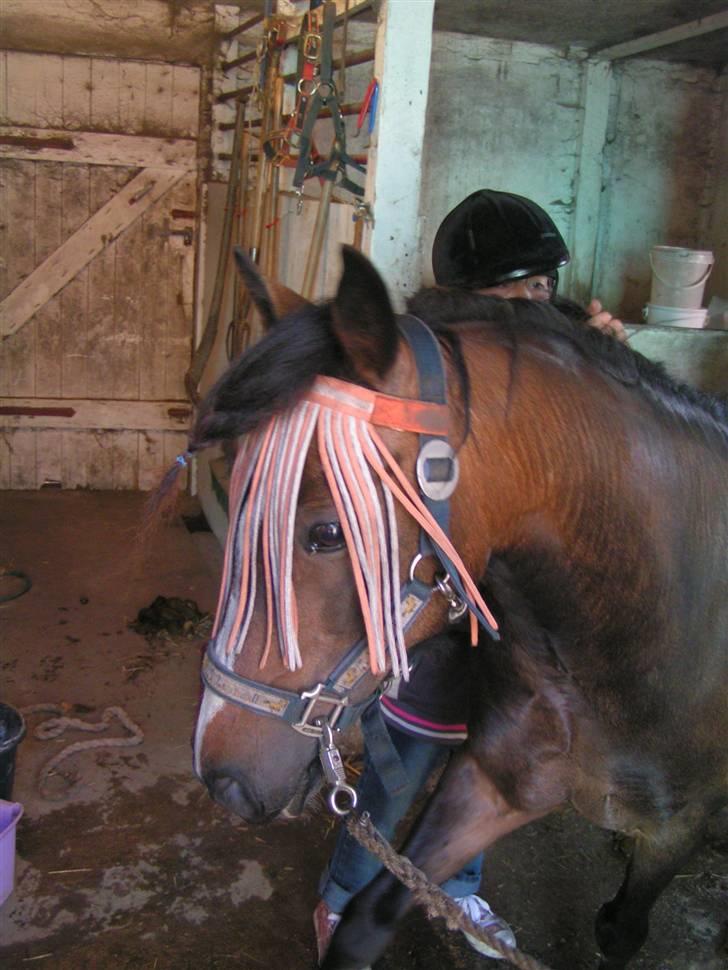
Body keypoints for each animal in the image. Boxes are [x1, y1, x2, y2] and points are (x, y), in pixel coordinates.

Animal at [185, 245, 728, 970]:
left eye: (326, 533)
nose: (221, 780)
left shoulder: (678, 830)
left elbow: (619, 931)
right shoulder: (495, 782)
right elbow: (367, 916)